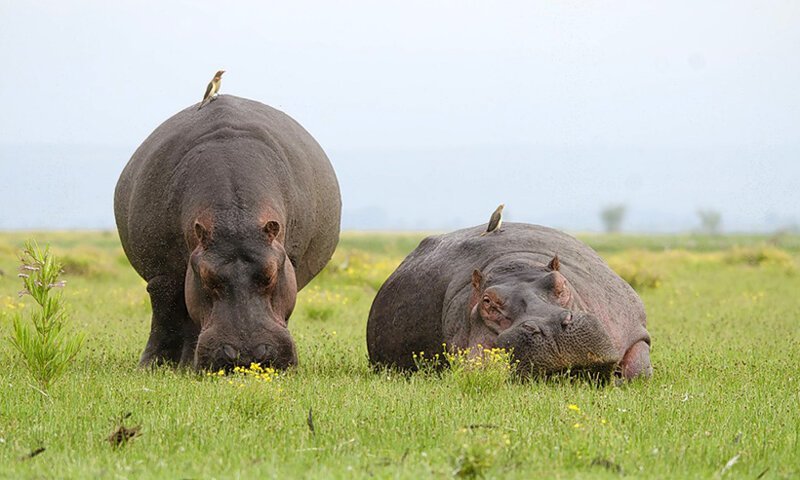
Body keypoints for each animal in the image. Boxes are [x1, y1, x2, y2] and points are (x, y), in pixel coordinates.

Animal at [114, 94, 340, 372]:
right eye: (207, 277)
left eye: (271, 274)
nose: (247, 355)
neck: (235, 218)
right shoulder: (163, 275)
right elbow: (166, 314)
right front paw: (151, 367)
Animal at [366, 223, 652, 380]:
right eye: (488, 302)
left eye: (560, 283)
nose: (549, 325)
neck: (516, 266)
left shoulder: (631, 328)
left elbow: (638, 369)